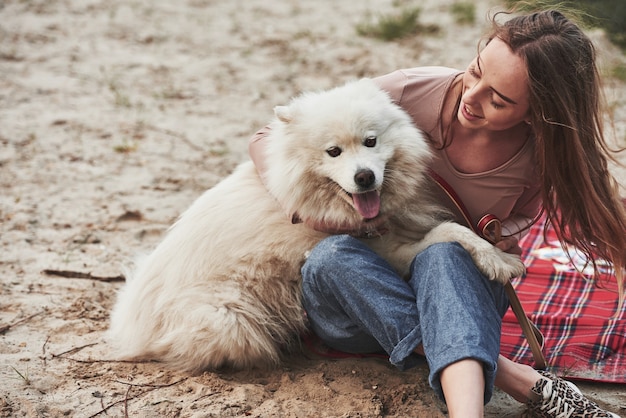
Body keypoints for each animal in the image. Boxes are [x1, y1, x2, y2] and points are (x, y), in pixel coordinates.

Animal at [107, 79, 520, 372]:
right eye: (333, 151)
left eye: (371, 142)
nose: (365, 177)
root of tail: (130, 323)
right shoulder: (391, 253)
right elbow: (450, 232)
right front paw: (500, 260)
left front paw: (500, 254)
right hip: (229, 319)